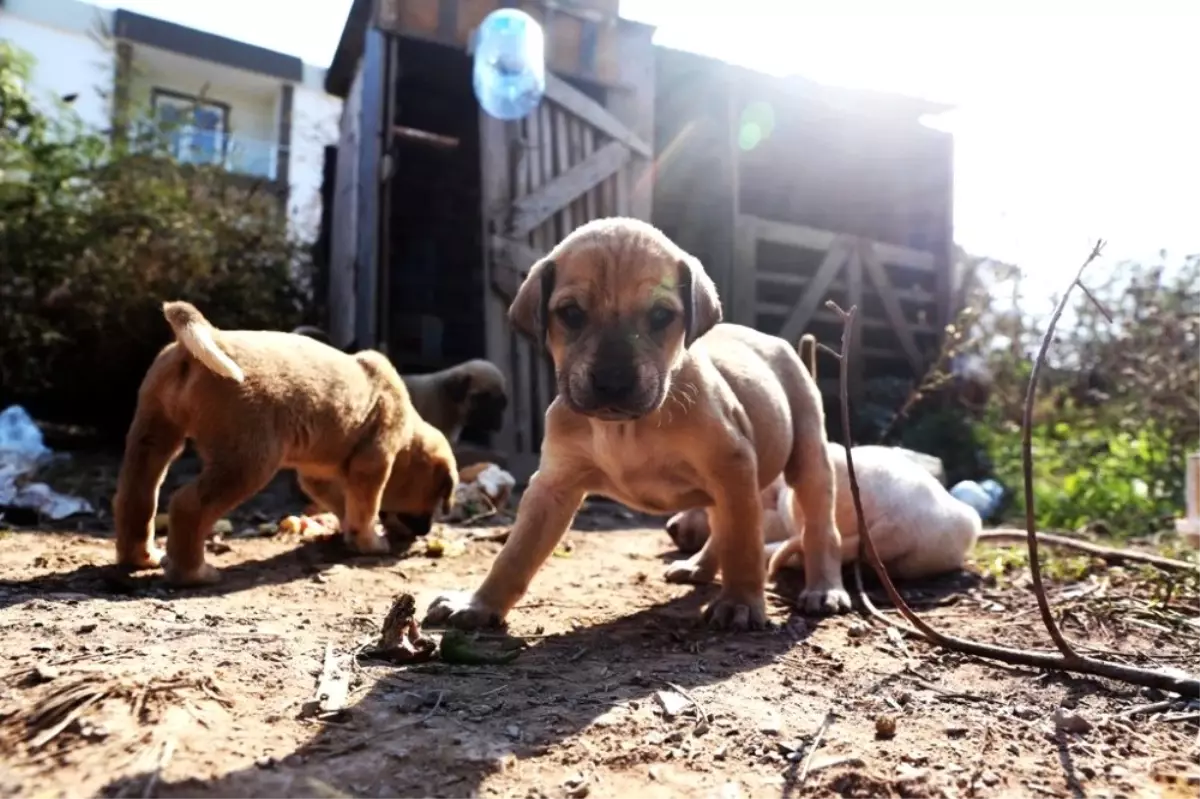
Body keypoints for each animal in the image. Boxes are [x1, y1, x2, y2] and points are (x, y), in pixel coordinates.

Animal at [114, 302, 456, 583]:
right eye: (437, 494)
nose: (424, 532)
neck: (408, 438)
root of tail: (213, 336)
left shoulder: (318, 475)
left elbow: (343, 503)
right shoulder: (372, 464)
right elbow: (364, 509)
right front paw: (369, 543)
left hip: (154, 436)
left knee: (135, 499)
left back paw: (141, 557)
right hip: (248, 462)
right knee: (188, 505)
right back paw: (195, 574)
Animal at [427, 218, 849, 628]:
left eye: (661, 315)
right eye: (571, 313)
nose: (613, 383)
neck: (625, 428)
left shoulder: (732, 464)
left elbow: (744, 544)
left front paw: (741, 602)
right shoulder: (553, 487)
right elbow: (515, 553)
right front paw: (479, 604)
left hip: (806, 459)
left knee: (818, 528)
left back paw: (825, 589)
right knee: (722, 526)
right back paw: (699, 566)